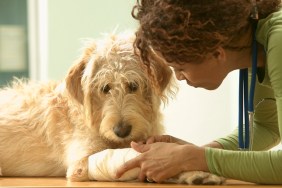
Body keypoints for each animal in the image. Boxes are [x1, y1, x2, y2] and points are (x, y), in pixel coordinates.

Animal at [0, 31, 225, 184]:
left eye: (133, 85)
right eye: (105, 88)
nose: (121, 130)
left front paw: (197, 172)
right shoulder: (81, 162)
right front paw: (197, 172)